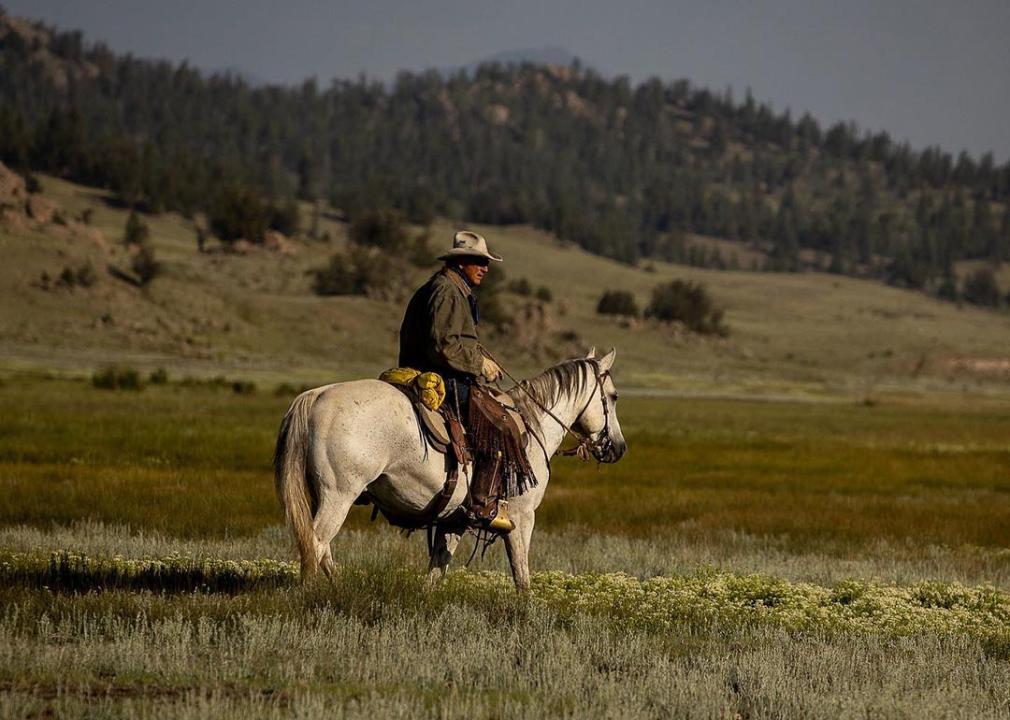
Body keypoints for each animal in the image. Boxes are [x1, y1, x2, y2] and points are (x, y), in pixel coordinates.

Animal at [274, 347, 622, 589]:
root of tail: (315, 395)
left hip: (322, 496)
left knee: (320, 549)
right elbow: (521, 576)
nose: (618, 447)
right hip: (338, 496)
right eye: (614, 396)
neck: (533, 426)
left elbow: (436, 571)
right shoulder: (522, 517)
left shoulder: (453, 519)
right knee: (315, 544)